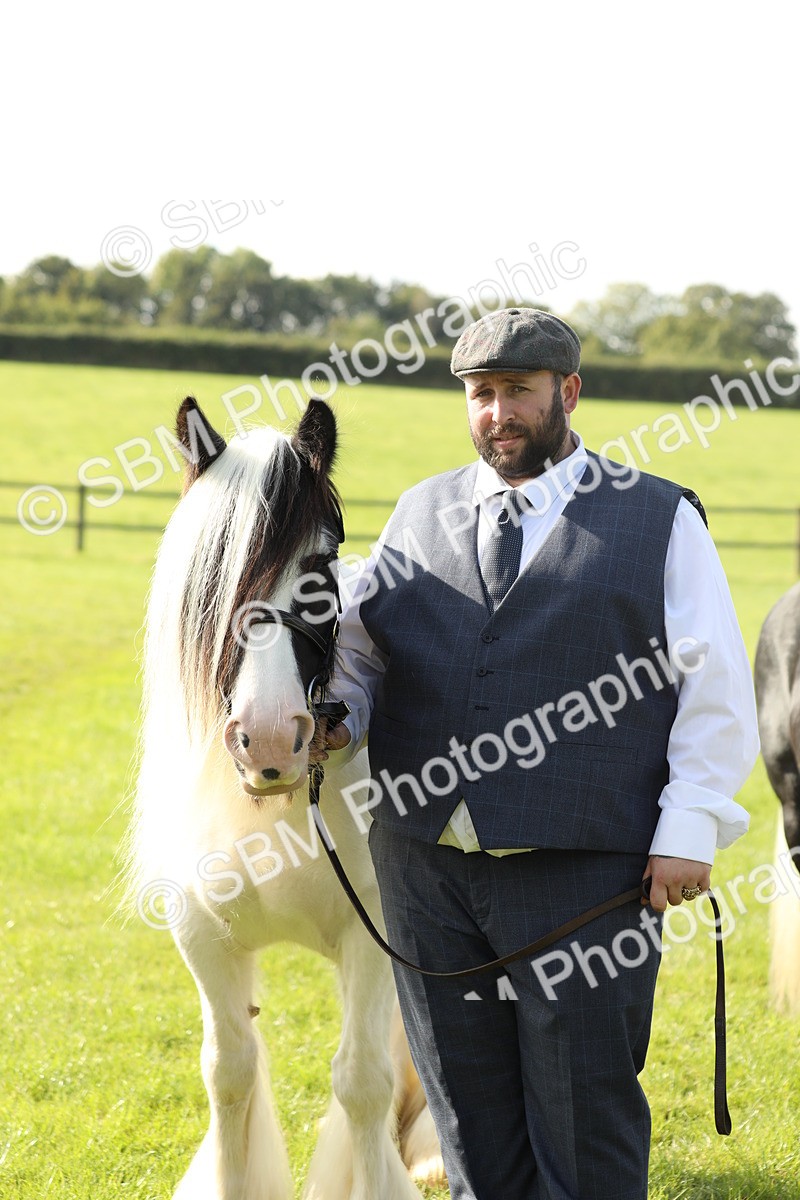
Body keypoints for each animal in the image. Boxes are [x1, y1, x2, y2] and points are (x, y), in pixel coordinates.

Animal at [125, 395, 443, 1199]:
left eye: (321, 564)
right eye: (211, 579)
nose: (270, 740)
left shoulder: (373, 934)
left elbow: (361, 1081)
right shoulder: (202, 932)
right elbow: (230, 1072)